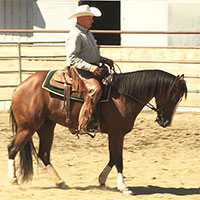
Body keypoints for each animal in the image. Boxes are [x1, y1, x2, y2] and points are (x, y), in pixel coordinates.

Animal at [7, 68, 187, 193]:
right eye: (173, 97)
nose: (165, 122)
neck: (124, 95)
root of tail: (19, 87)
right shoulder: (117, 134)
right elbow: (118, 159)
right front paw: (123, 187)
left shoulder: (114, 134)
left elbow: (113, 157)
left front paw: (102, 179)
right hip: (28, 127)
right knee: (12, 149)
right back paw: (14, 181)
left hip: (46, 126)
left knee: (43, 154)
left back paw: (60, 182)